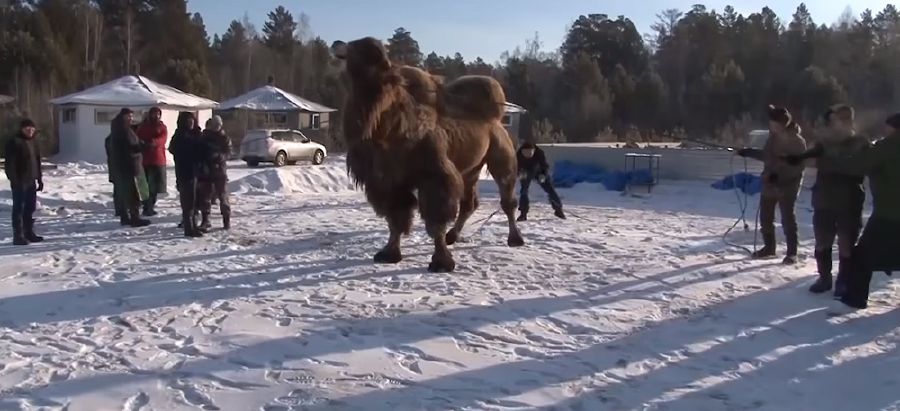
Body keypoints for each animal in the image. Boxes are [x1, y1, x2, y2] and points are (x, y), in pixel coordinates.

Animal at [331, 37, 524, 273]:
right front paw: (389, 253)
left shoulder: (434, 176)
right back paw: (453, 235)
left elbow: (435, 219)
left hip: (501, 156)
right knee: (469, 202)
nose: (336, 43)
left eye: (359, 48)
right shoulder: (388, 181)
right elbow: (396, 217)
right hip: (470, 168)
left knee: (507, 197)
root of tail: (495, 120)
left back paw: (515, 239)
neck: (390, 128)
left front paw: (442, 262)